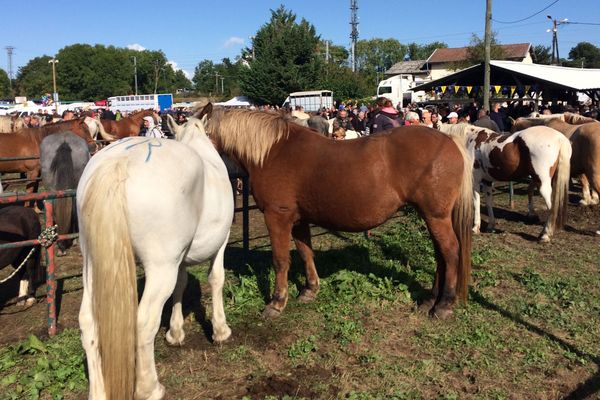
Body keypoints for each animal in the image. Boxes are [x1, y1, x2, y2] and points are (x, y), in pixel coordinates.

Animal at [75, 110, 234, 400]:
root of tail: (119, 162)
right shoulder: (221, 242)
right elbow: (216, 279)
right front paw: (220, 330)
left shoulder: (180, 258)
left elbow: (181, 285)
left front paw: (175, 332)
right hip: (160, 268)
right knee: (144, 321)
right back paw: (150, 388)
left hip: (92, 267)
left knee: (88, 321)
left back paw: (99, 391)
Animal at [205, 105, 474, 318]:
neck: (273, 151)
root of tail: (449, 141)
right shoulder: (299, 220)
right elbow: (305, 253)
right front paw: (310, 290)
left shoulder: (277, 217)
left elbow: (280, 261)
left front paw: (277, 302)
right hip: (432, 216)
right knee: (440, 254)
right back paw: (430, 299)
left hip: (436, 216)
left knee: (450, 251)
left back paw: (444, 305)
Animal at [440, 123, 572, 242]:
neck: (469, 141)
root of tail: (560, 138)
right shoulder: (487, 182)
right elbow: (488, 202)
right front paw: (490, 225)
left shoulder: (476, 182)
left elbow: (476, 203)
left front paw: (475, 228)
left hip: (542, 184)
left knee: (552, 208)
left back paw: (545, 235)